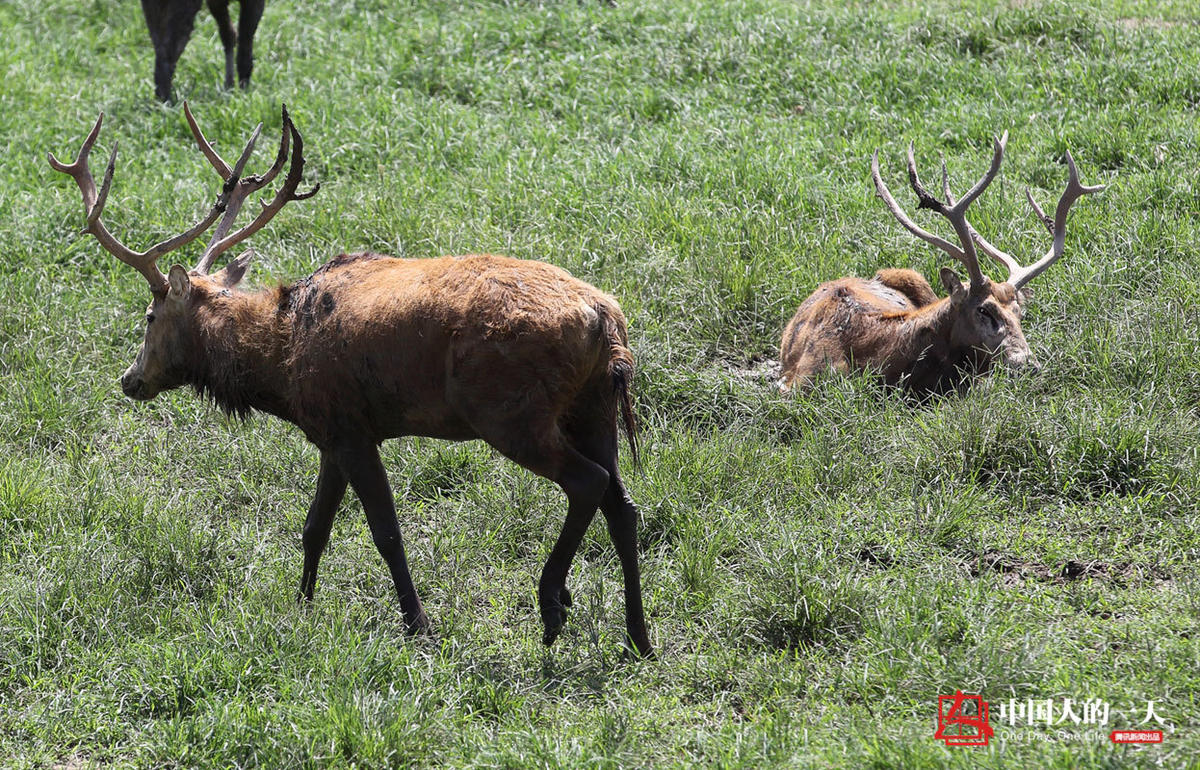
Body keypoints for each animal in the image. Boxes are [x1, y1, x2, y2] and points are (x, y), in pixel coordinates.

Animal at [51, 104, 657, 657]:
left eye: (149, 317)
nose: (130, 379)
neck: (281, 367)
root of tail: (606, 319)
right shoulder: (329, 435)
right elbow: (314, 525)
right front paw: (301, 606)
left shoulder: (351, 429)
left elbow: (385, 531)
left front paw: (418, 625)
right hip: (591, 408)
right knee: (623, 505)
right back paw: (638, 635)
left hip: (512, 413)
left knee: (587, 483)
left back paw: (553, 605)